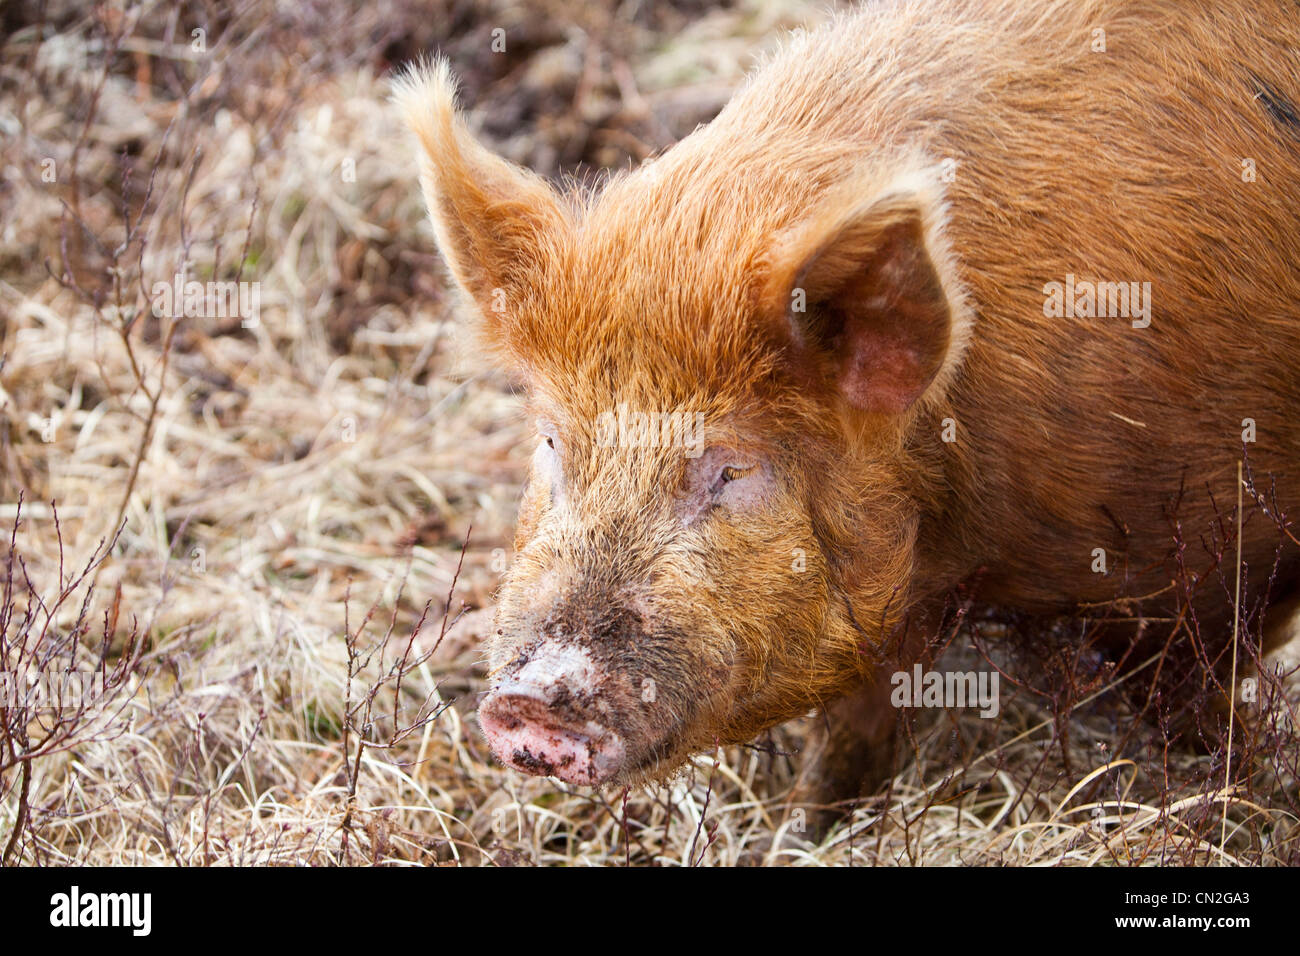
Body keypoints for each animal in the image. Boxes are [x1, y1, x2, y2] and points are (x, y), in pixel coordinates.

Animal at [392, 0, 1300, 811]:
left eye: (732, 470)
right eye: (553, 443)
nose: (528, 705)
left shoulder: (1216, 556)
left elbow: (1192, 696)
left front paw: (1230, 793)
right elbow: (856, 723)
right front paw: (814, 816)